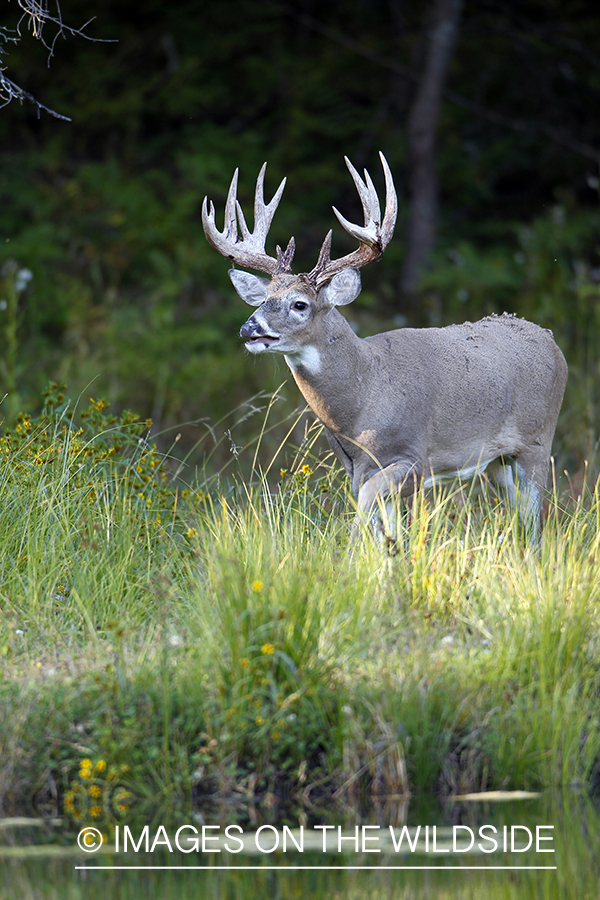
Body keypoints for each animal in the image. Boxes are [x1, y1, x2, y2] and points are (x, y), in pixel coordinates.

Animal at [202, 153, 568, 540]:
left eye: (299, 304)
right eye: (262, 300)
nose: (249, 328)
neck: (365, 396)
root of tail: (550, 339)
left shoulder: (415, 459)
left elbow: (366, 507)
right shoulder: (358, 468)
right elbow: (387, 532)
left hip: (537, 441)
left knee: (535, 519)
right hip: (498, 461)